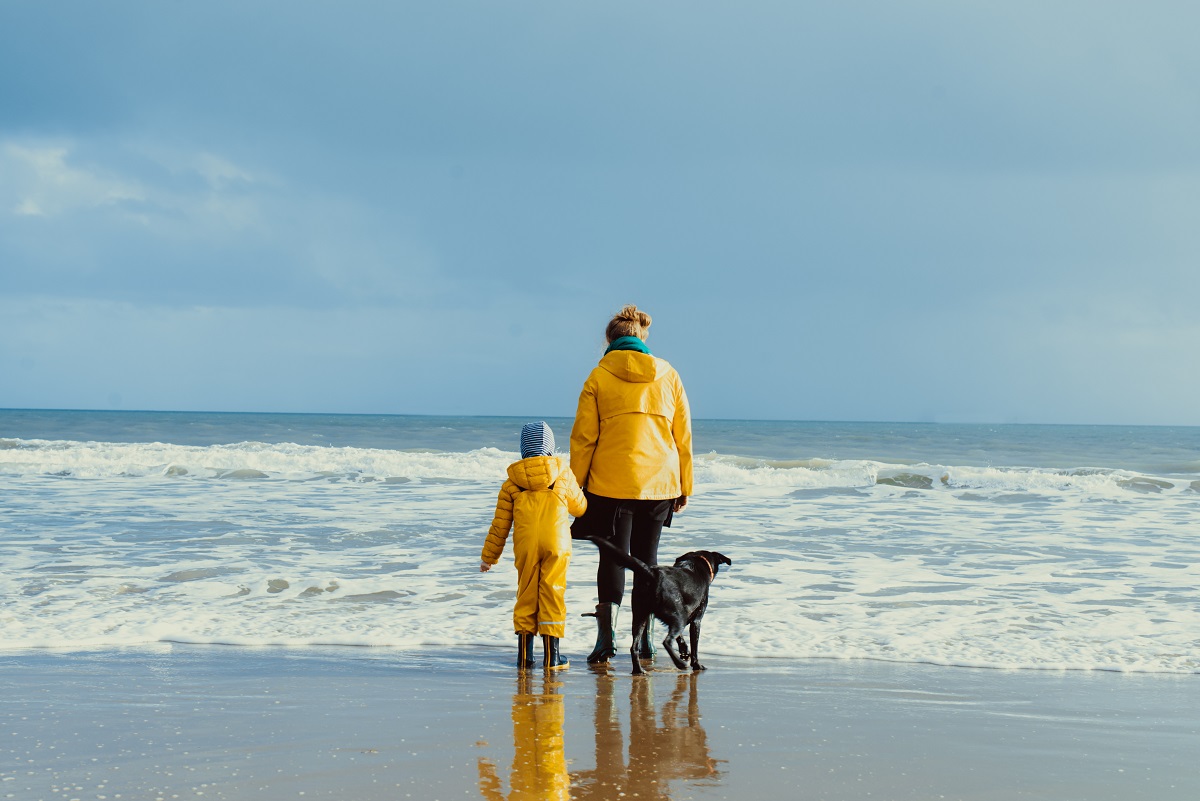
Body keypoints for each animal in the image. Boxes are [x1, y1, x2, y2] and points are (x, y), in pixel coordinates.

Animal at [583, 537, 724, 676]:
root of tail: (652, 573)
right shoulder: (696, 620)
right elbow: (694, 646)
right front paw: (697, 665)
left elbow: (680, 637)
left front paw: (684, 650)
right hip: (679, 617)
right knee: (666, 641)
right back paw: (680, 664)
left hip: (640, 616)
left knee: (634, 647)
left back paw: (639, 670)